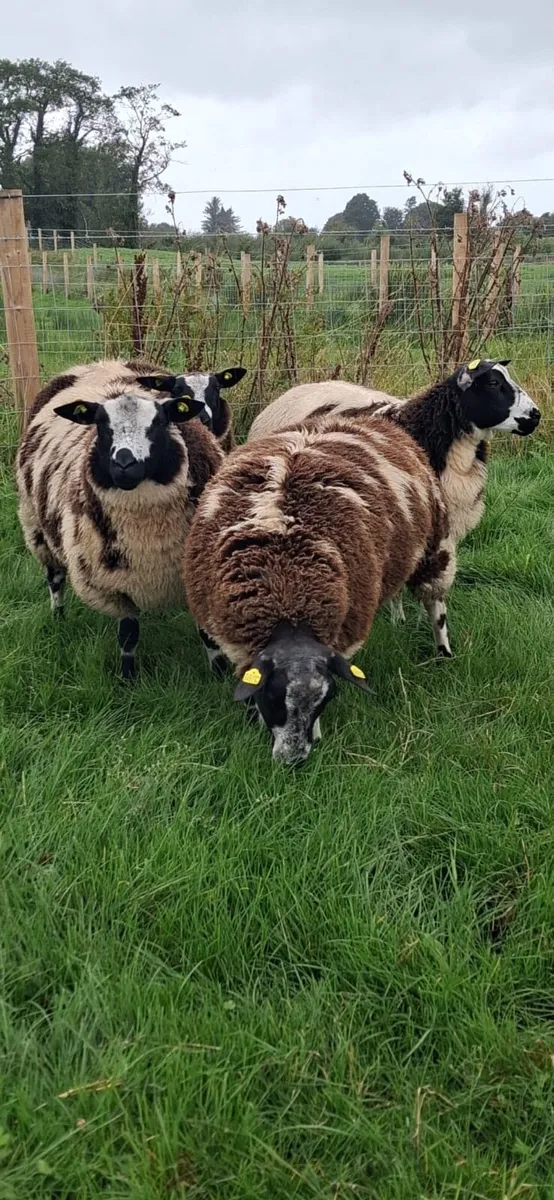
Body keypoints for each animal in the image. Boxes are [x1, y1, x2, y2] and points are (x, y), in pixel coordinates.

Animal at [16, 359, 234, 678]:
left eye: (159, 423)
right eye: (101, 426)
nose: (124, 464)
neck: (148, 533)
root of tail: (101, 363)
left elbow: (208, 635)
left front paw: (218, 674)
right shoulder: (113, 584)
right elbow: (129, 635)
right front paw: (128, 678)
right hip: (36, 526)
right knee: (55, 578)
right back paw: (58, 618)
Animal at [184, 409, 453, 765]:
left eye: (325, 700)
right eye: (272, 697)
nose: (293, 761)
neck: (286, 594)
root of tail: (365, 419)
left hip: (434, 543)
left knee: (436, 605)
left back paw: (443, 652)